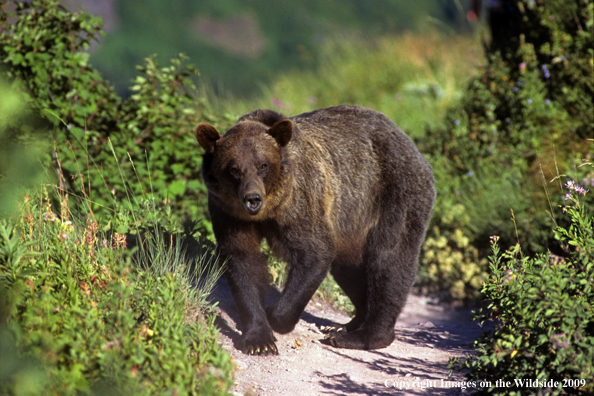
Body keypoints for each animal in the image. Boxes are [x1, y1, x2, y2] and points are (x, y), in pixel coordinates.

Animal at [197, 105, 432, 356]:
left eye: (263, 165)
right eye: (234, 169)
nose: (252, 199)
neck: (268, 211)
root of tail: (413, 148)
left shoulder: (299, 202)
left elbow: (314, 252)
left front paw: (276, 316)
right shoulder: (230, 214)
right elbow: (243, 261)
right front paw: (259, 340)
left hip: (395, 194)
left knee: (389, 261)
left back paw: (362, 335)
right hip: (351, 228)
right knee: (349, 268)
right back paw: (345, 326)